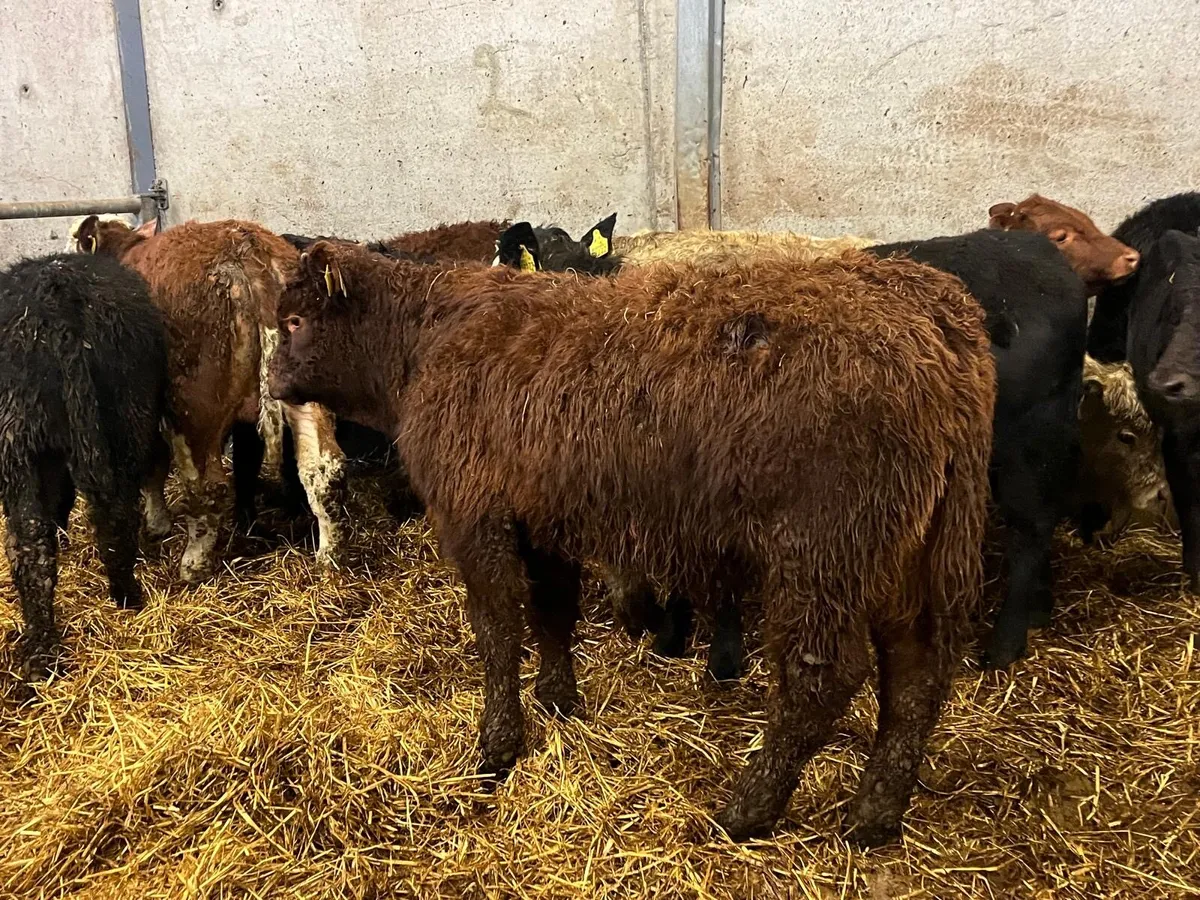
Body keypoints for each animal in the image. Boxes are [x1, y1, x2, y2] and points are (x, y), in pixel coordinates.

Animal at [0, 253, 168, 679]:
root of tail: (54, 294)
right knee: (111, 515)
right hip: (121, 421)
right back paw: (124, 598)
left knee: (32, 544)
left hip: (22, 444)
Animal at [70, 215, 347, 583]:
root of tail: (245, 247)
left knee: (206, 485)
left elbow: (152, 464)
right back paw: (328, 558)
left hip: (194, 408)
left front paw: (156, 523)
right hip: (306, 396)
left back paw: (193, 563)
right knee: (323, 472)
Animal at [267, 234, 995, 847]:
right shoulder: (542, 517)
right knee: (916, 674)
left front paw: (497, 747)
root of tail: (926, 306)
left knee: (822, 680)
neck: (430, 337)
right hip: (913, 557)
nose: (271, 383)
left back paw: (749, 809)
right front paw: (558, 702)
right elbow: (553, 610)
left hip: (821, 554)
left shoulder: (473, 514)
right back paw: (874, 815)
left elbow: (498, 631)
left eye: (295, 323)